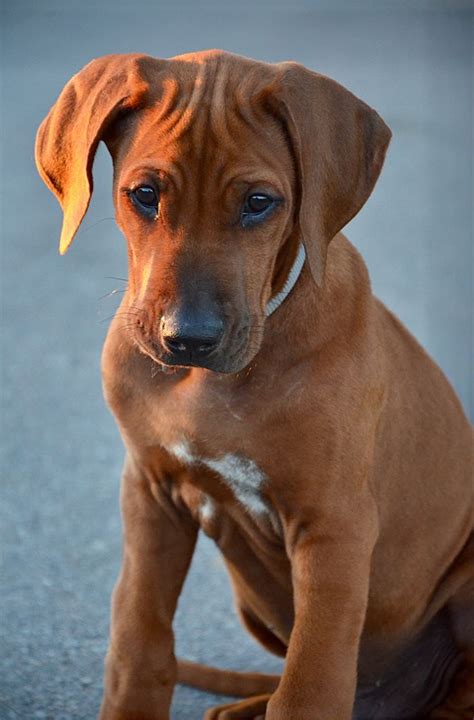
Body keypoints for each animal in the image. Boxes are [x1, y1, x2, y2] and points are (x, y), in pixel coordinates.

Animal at [35, 50, 472, 720]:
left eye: (259, 203)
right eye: (144, 194)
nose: (187, 338)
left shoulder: (334, 529)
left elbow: (310, 686)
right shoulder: (150, 492)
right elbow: (138, 638)